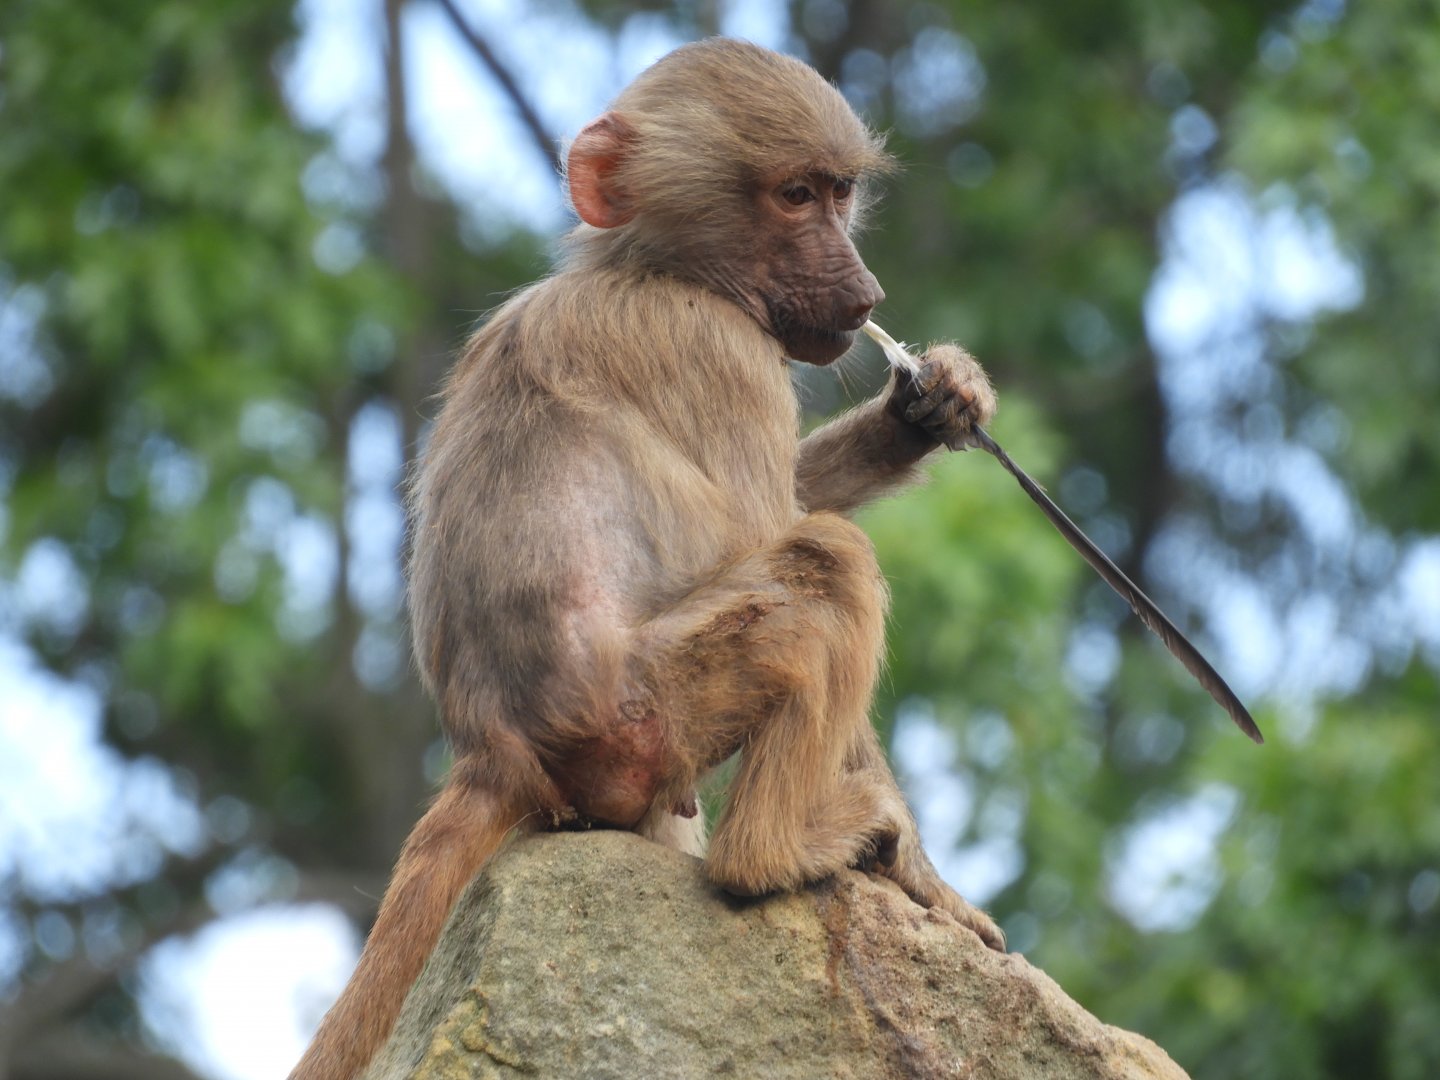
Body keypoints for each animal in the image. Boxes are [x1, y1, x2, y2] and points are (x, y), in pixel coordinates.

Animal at [290, 38, 1001, 1080]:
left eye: (839, 194)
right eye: (794, 195)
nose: (867, 294)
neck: (656, 269)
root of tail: (494, 746)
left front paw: (932, 401)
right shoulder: (722, 352)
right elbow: (771, 526)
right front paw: (927, 881)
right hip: (645, 720)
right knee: (825, 561)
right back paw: (775, 852)